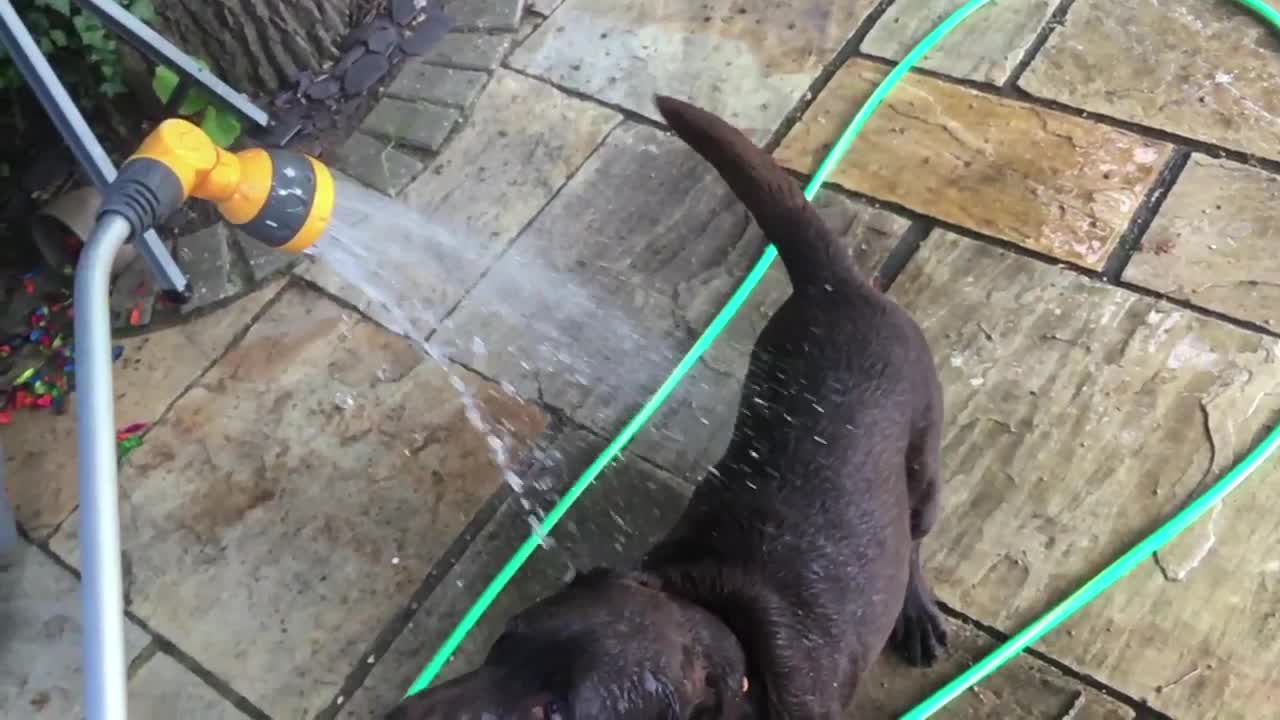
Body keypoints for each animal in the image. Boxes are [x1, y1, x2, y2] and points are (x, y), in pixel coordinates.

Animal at [389, 96, 952, 717]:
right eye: (502, 642)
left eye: (552, 712)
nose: (396, 714)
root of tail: (833, 285)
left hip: (924, 469)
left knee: (914, 542)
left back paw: (917, 613)